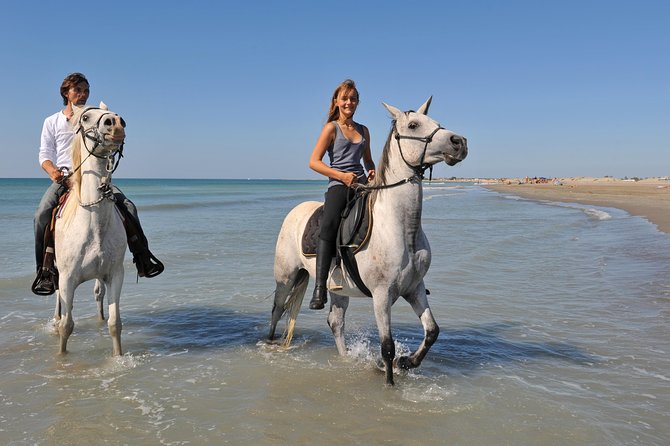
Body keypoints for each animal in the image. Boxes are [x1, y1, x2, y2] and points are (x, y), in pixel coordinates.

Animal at [54, 102, 128, 356]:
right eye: (86, 118)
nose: (116, 123)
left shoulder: (115, 274)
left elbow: (115, 323)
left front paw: (118, 358)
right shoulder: (67, 279)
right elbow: (67, 325)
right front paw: (61, 357)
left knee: (98, 295)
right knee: (58, 301)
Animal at [270, 97, 470, 384]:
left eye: (436, 122)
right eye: (413, 125)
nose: (459, 142)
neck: (401, 228)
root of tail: (295, 211)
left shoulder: (414, 288)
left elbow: (432, 331)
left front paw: (406, 362)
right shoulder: (382, 295)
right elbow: (387, 346)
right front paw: (389, 381)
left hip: (337, 289)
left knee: (336, 322)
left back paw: (345, 360)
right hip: (285, 277)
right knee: (277, 310)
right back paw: (268, 343)